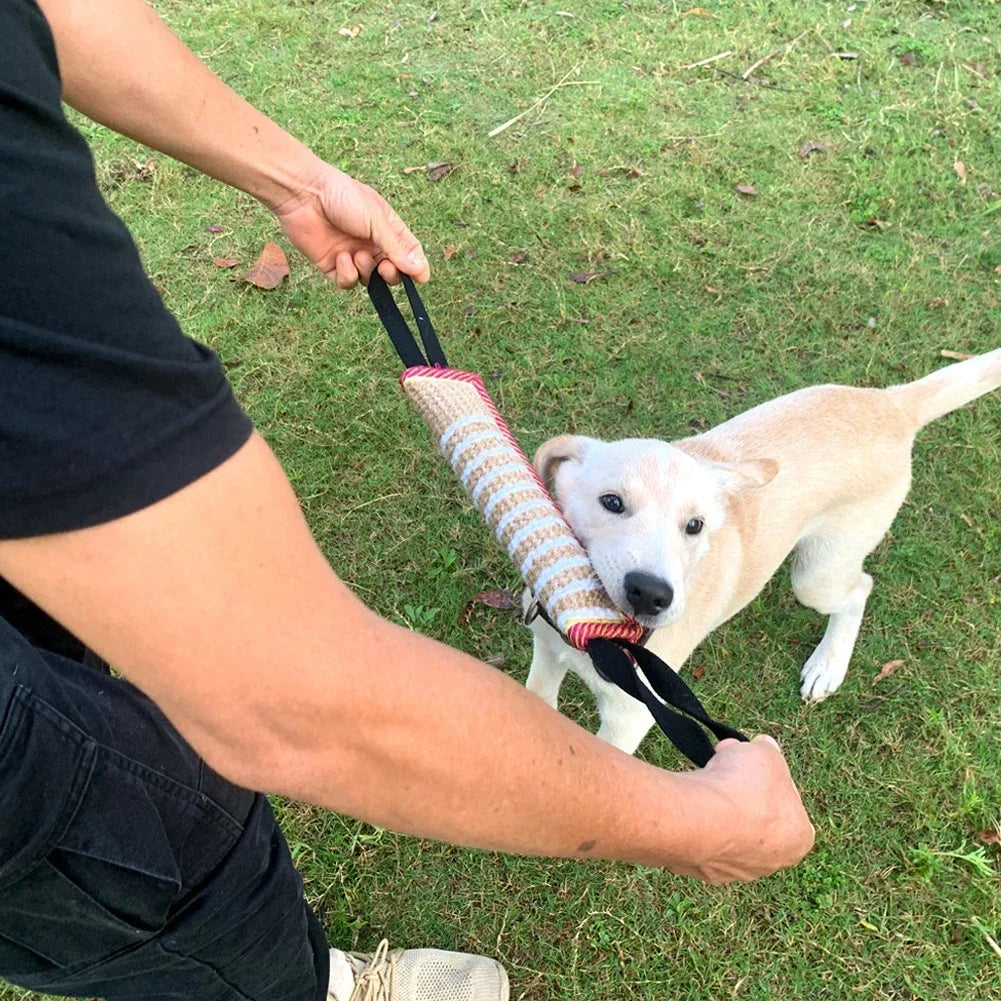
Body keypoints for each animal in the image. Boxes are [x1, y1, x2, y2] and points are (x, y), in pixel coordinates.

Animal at [524, 350, 1001, 752]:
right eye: (612, 502)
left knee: (860, 587)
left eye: (695, 526)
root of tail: (892, 404)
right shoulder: (546, 654)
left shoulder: (632, 715)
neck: (594, 639)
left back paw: (828, 665)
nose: (652, 595)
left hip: (817, 574)